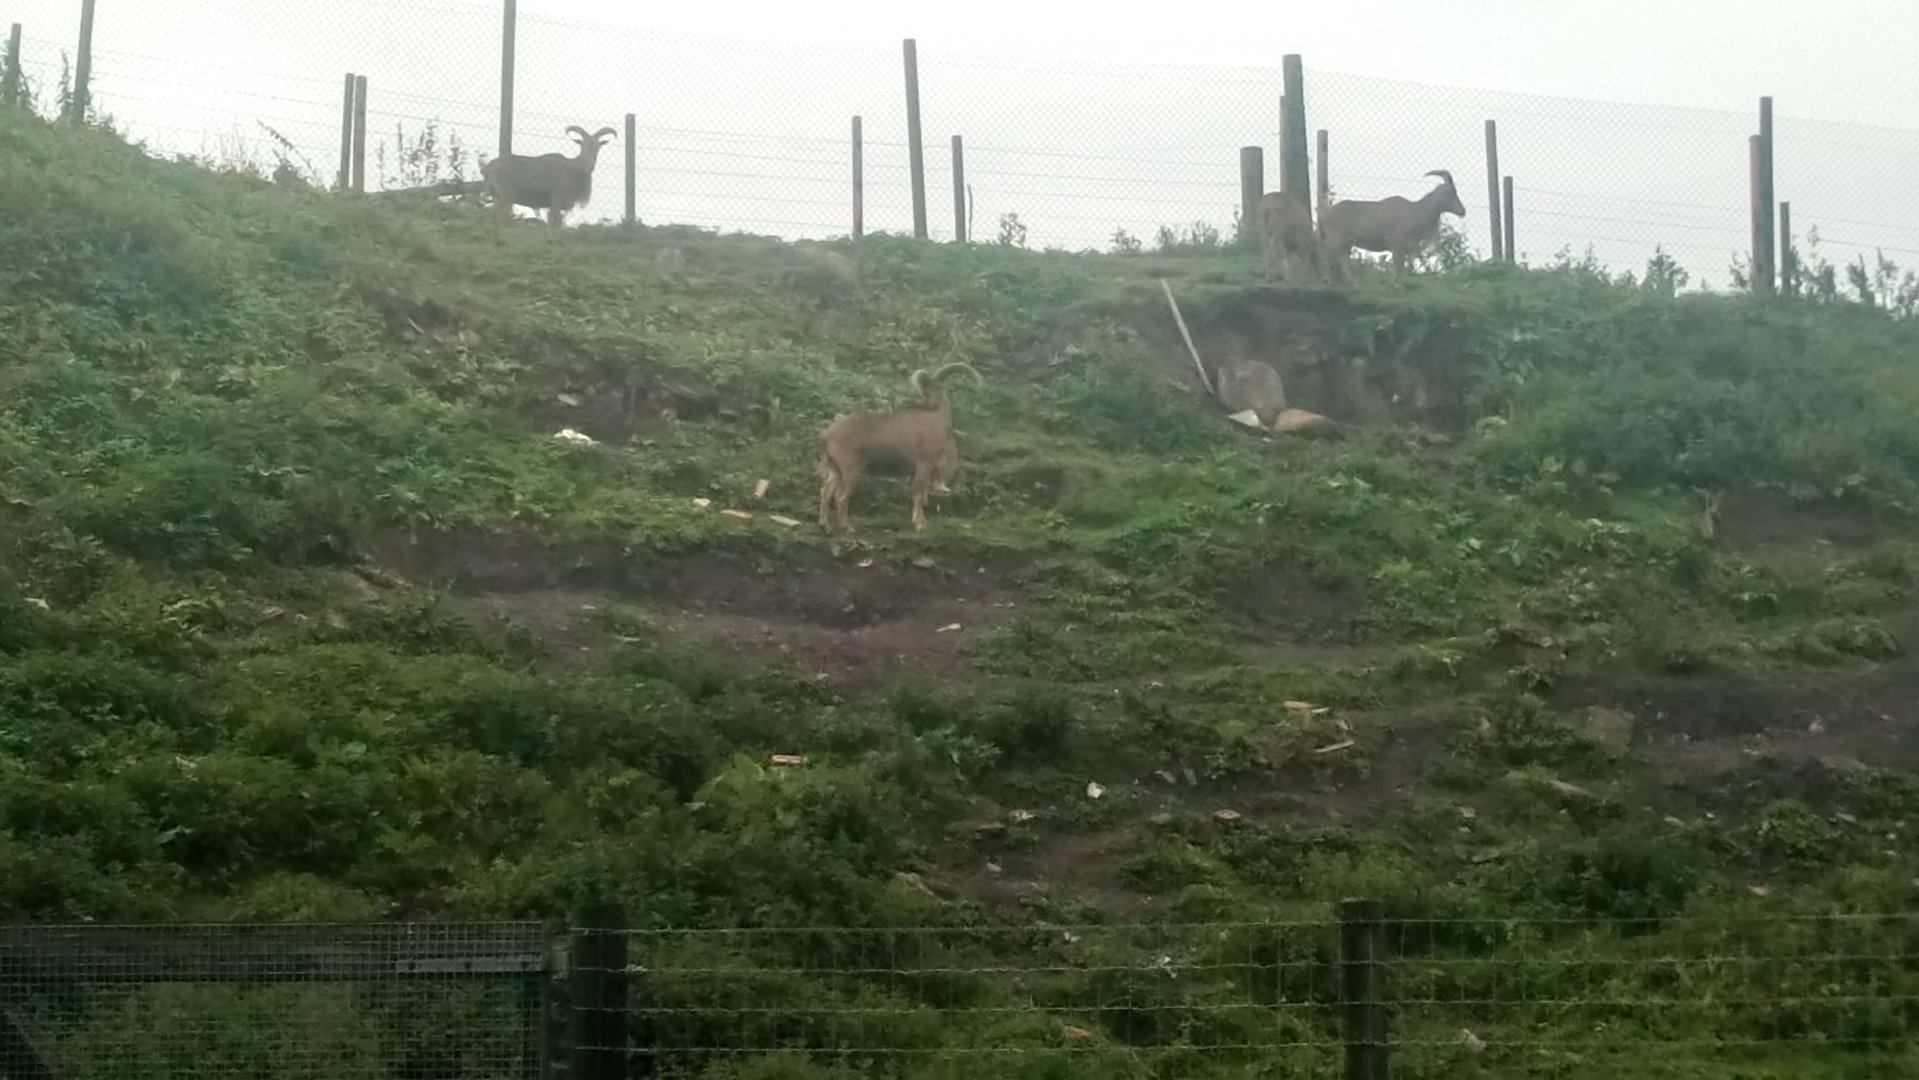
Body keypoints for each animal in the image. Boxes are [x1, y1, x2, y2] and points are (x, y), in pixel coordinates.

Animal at [479, 125, 618, 234]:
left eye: (597, 147)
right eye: (582, 146)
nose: (589, 166)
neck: (573, 168)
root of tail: (488, 167)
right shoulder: (556, 200)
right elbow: (555, 224)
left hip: (499, 197)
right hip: (507, 196)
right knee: (497, 216)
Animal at [817, 362, 982, 535]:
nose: (929, 398)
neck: (937, 417)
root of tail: (826, 435)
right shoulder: (925, 463)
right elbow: (919, 493)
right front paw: (920, 524)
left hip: (834, 469)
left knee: (825, 491)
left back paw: (825, 526)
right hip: (850, 469)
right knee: (841, 495)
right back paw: (847, 527)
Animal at [1318, 169, 1467, 274]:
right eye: (1453, 192)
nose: (1463, 211)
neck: (1415, 211)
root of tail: (1324, 215)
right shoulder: (1397, 245)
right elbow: (1397, 269)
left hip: (1346, 244)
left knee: (1343, 261)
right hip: (1335, 239)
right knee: (1324, 254)